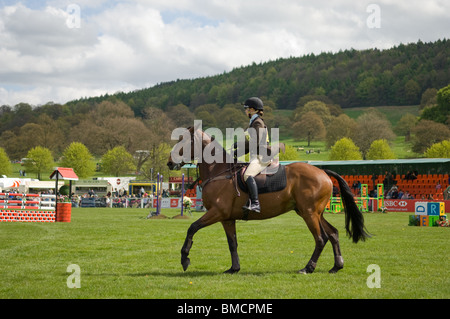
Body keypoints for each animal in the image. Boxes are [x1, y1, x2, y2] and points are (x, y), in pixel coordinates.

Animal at [166, 127, 370, 276]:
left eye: (183, 141)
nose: (169, 163)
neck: (219, 171)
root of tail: (323, 172)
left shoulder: (217, 212)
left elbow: (192, 227)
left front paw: (184, 259)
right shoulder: (227, 218)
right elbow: (232, 243)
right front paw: (234, 268)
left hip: (309, 213)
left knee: (321, 238)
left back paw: (308, 268)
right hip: (313, 212)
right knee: (333, 233)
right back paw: (336, 266)